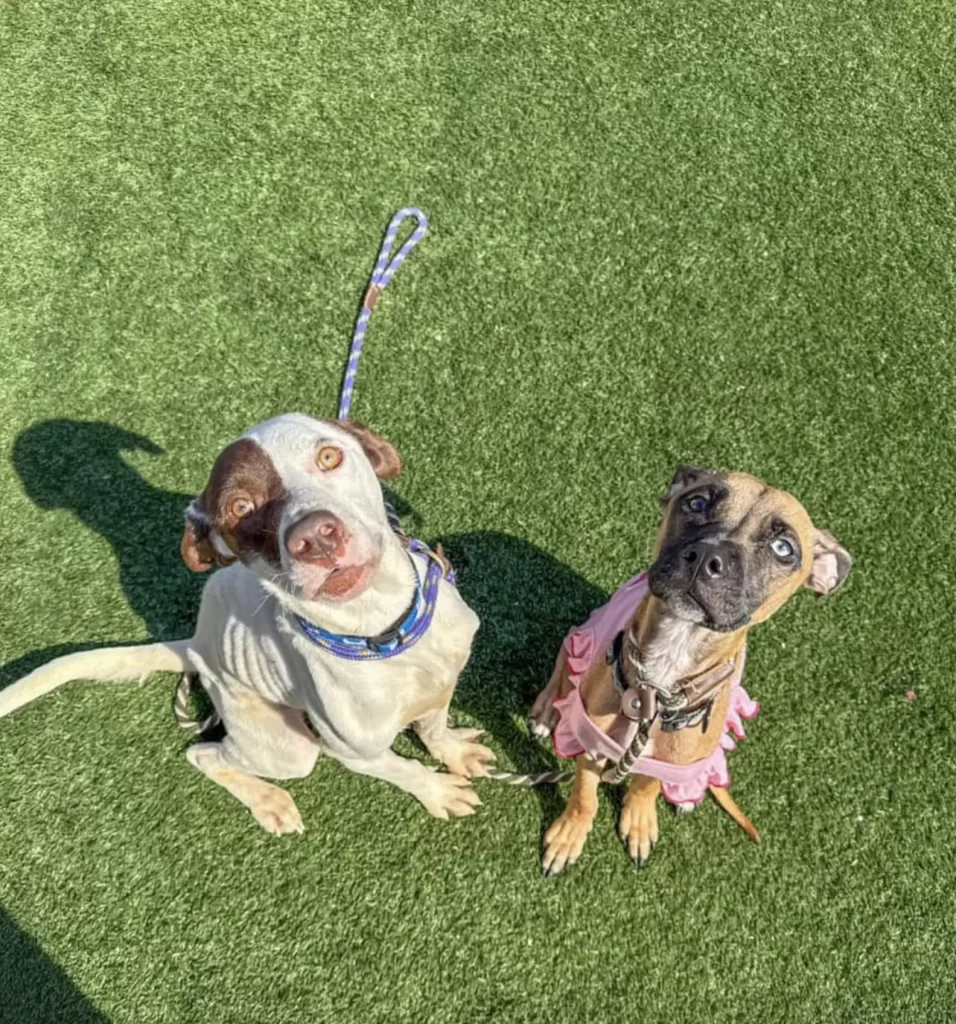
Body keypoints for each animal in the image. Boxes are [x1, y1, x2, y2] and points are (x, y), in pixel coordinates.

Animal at [0, 414, 493, 832]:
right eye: (240, 507)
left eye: (328, 457)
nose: (314, 537)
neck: (382, 631)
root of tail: (197, 643)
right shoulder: (355, 754)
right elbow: (405, 769)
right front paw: (435, 789)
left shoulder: (443, 686)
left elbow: (433, 728)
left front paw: (453, 751)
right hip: (290, 749)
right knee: (204, 753)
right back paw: (268, 801)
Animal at [528, 465, 851, 875]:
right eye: (696, 502)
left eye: (784, 549)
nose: (708, 556)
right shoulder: (591, 741)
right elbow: (585, 795)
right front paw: (568, 837)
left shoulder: (669, 761)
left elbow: (646, 785)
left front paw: (638, 820)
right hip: (588, 632)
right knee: (566, 654)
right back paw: (545, 712)